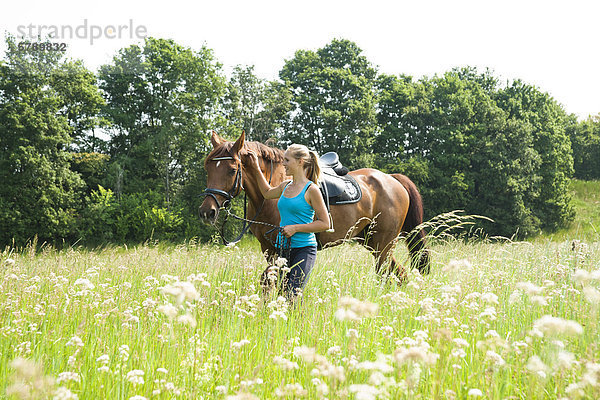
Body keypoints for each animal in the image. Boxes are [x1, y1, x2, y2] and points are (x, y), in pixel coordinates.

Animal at [199, 133, 428, 276]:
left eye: (232, 170)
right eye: (207, 168)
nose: (207, 212)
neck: (268, 198)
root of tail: (392, 179)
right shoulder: (268, 249)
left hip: (383, 244)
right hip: (371, 242)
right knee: (398, 275)